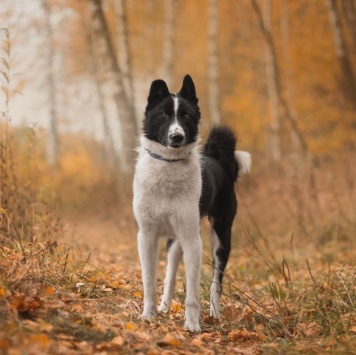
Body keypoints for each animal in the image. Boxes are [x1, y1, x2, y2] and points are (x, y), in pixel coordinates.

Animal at [132, 75, 252, 334]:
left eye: (186, 116)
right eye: (164, 115)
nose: (177, 137)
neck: (168, 165)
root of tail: (219, 159)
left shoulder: (193, 241)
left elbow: (193, 293)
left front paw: (192, 324)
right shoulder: (146, 236)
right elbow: (149, 281)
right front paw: (148, 315)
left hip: (221, 238)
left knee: (216, 281)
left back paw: (214, 314)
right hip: (174, 242)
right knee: (170, 275)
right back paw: (165, 306)